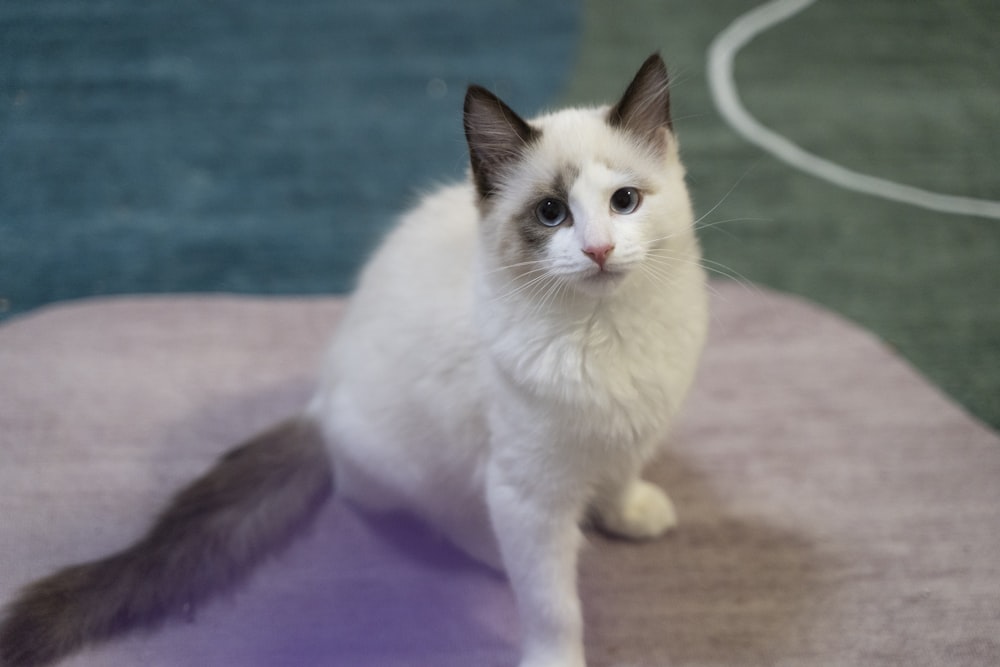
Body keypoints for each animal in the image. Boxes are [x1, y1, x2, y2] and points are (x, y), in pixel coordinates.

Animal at [0, 53, 708, 667]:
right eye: (552, 213)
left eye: (624, 202)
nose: (598, 250)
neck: (608, 334)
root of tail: (322, 398)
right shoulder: (527, 493)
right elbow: (554, 609)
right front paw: (558, 650)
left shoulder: (634, 426)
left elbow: (620, 476)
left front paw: (631, 513)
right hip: (426, 468)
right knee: (423, 513)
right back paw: (487, 548)